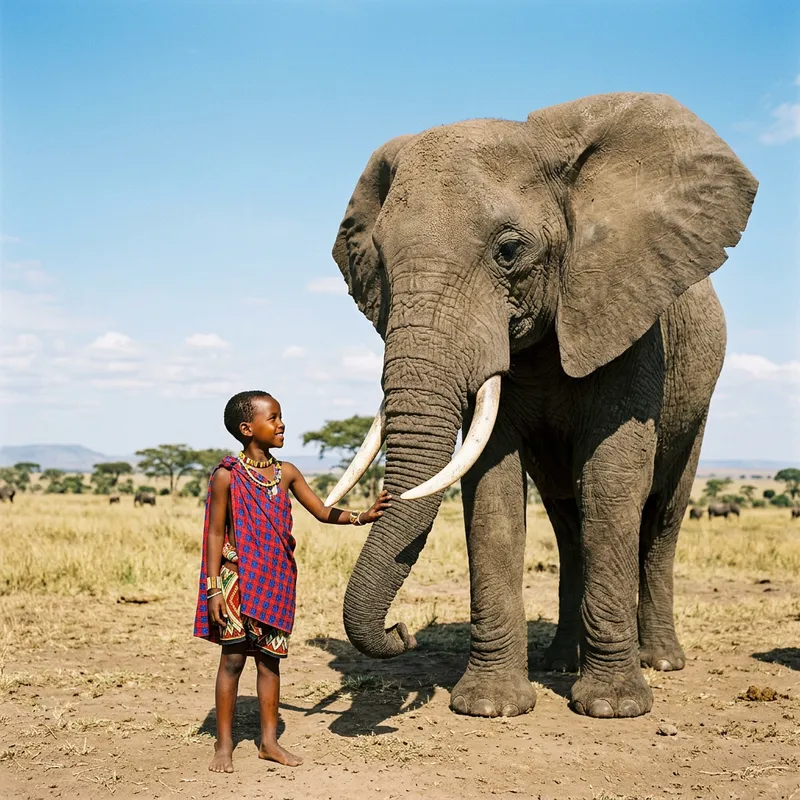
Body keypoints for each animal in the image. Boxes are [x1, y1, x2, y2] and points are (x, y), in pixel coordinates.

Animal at [325, 93, 757, 720]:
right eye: (378, 258)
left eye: (509, 252)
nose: (401, 632)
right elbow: (492, 491)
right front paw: (491, 707)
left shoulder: (628, 314)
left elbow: (613, 478)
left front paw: (612, 708)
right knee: (568, 522)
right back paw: (558, 663)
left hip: (698, 402)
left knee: (662, 517)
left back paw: (659, 662)